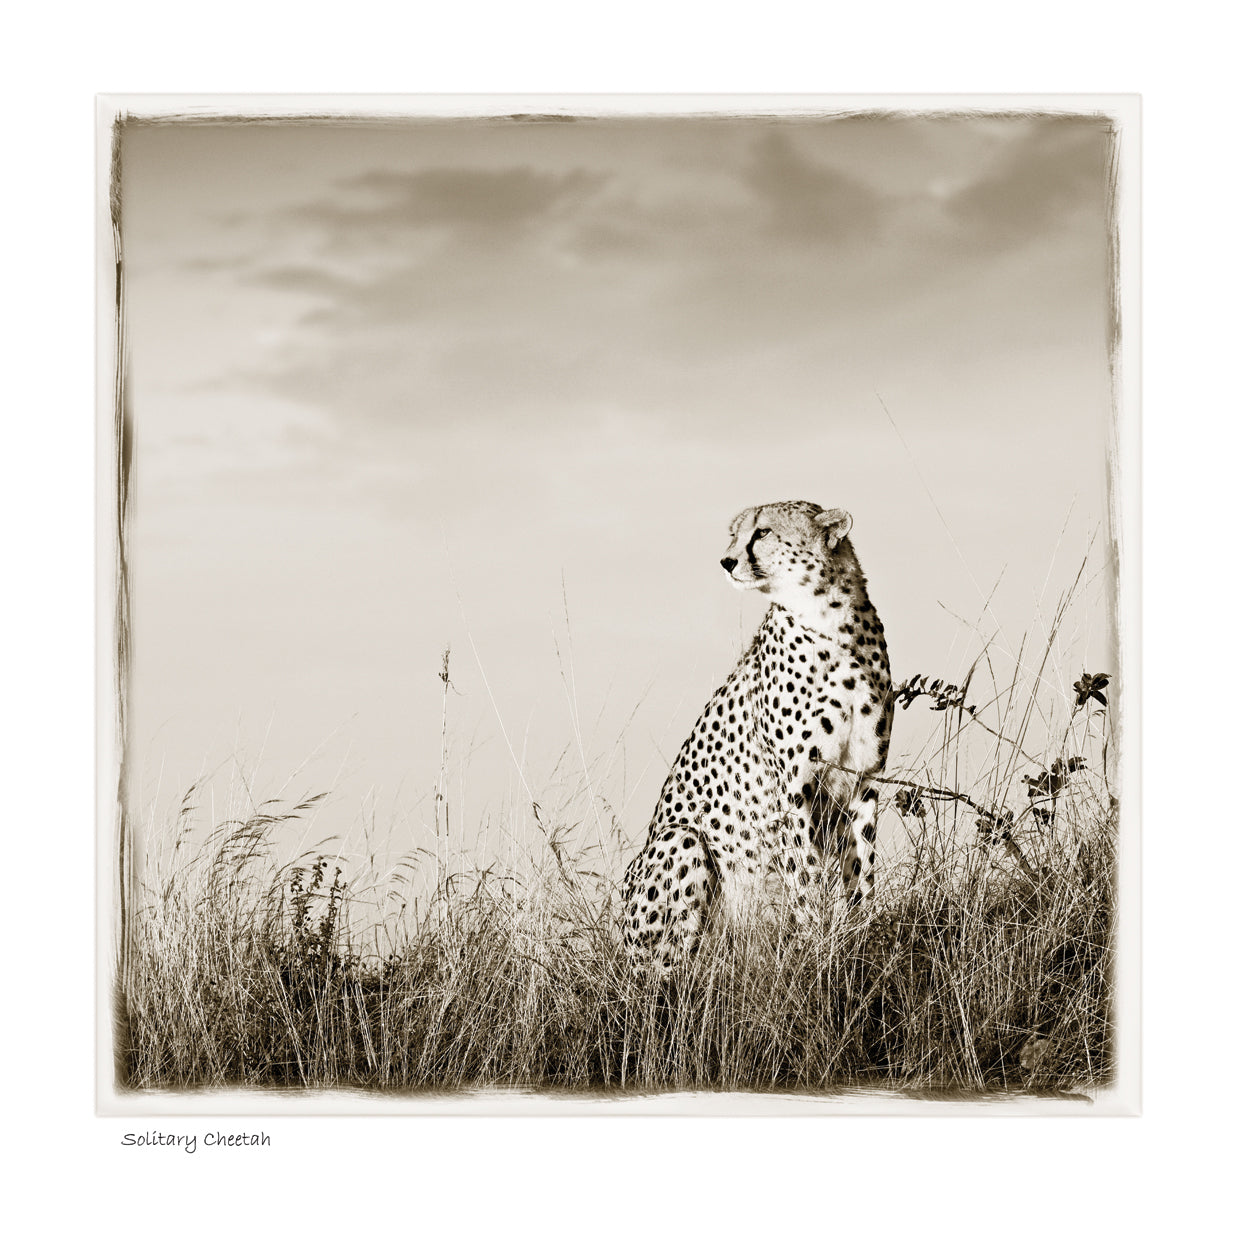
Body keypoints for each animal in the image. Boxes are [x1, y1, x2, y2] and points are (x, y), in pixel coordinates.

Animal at [621, 500, 893, 972]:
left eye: (762, 532)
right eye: (734, 534)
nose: (726, 561)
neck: (831, 620)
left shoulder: (864, 781)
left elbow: (861, 873)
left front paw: (861, 944)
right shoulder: (793, 789)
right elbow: (806, 877)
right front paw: (818, 951)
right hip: (681, 841)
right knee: (663, 973)